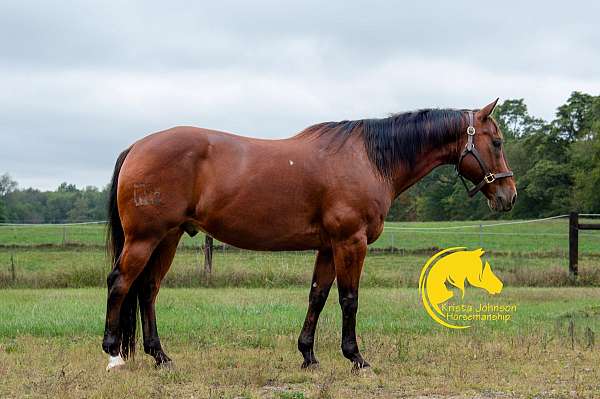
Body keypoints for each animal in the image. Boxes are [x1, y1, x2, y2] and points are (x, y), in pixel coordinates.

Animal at [102, 99, 516, 372]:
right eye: (496, 142)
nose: (508, 195)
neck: (368, 159)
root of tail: (137, 146)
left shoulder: (328, 247)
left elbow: (318, 296)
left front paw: (308, 355)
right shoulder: (351, 242)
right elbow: (349, 299)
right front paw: (356, 358)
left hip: (168, 238)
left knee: (147, 290)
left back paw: (160, 356)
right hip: (145, 238)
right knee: (120, 283)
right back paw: (114, 353)